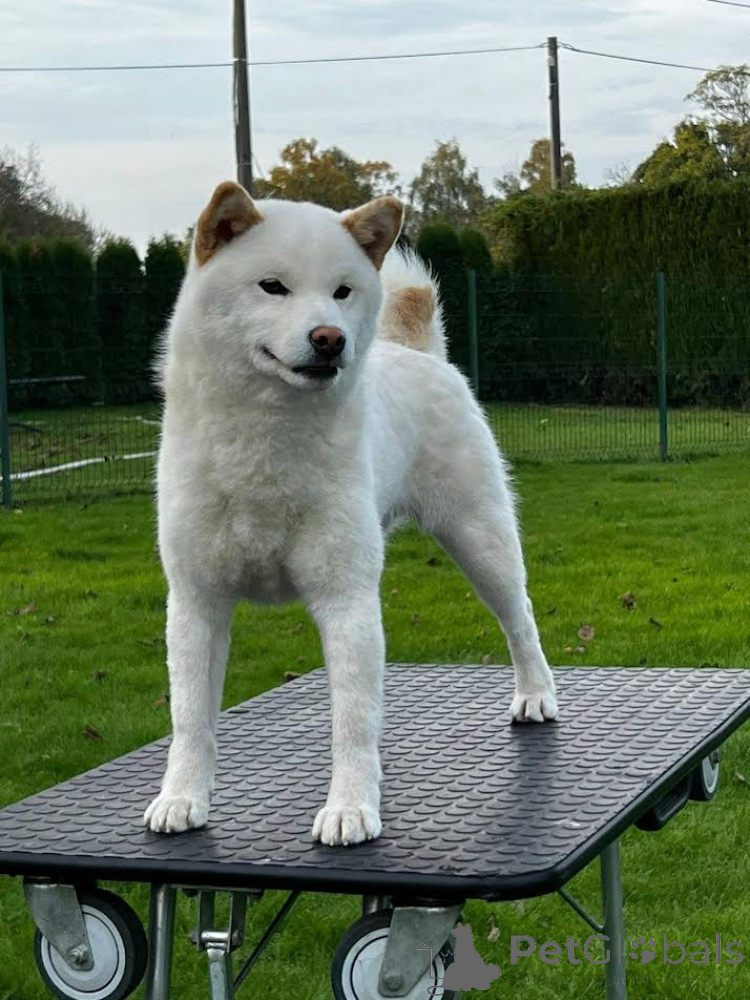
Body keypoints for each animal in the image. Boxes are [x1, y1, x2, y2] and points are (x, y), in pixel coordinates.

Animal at [144, 182, 558, 847]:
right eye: (272, 286)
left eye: (342, 291)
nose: (329, 338)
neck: (266, 442)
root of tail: (416, 352)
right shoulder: (195, 602)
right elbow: (190, 718)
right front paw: (182, 797)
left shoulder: (347, 598)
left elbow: (354, 722)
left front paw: (351, 808)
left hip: (482, 541)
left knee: (520, 621)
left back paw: (536, 694)